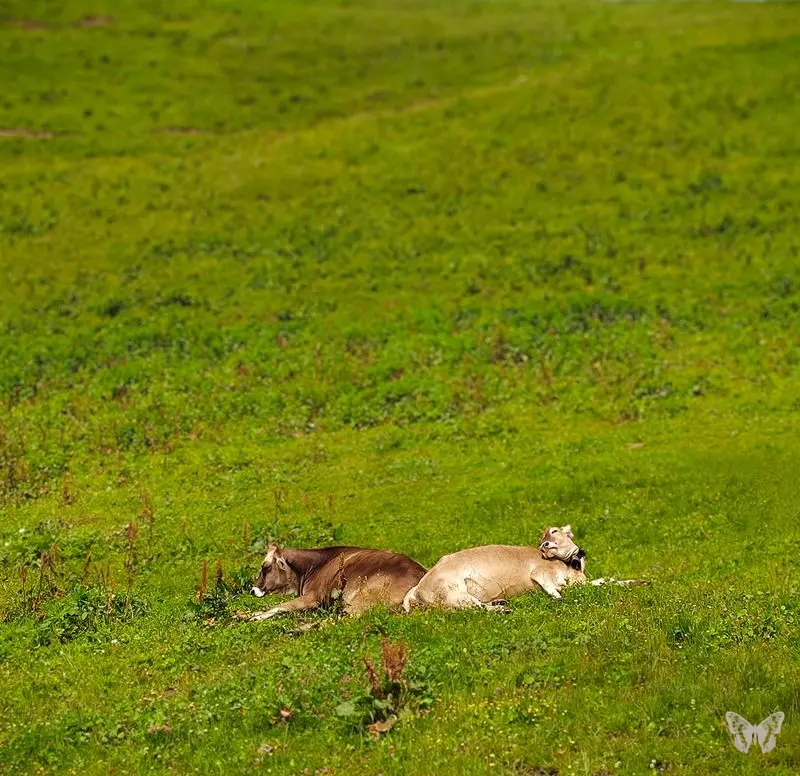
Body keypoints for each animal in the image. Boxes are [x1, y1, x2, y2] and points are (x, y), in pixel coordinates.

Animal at [247, 544, 426, 621]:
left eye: (266, 567)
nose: (253, 590)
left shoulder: (313, 596)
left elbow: (279, 606)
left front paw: (252, 617)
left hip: (360, 601)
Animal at [403, 525, 646, 612]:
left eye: (554, 531)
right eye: (544, 536)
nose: (544, 545)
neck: (573, 569)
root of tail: (417, 589)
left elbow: (605, 581)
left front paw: (640, 582)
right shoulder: (540, 573)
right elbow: (555, 590)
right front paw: (559, 599)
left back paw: (500, 603)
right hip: (454, 592)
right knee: (474, 609)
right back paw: (502, 609)